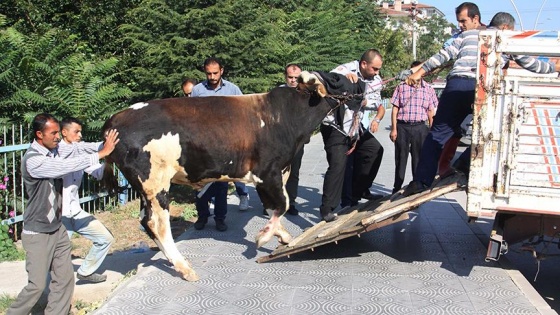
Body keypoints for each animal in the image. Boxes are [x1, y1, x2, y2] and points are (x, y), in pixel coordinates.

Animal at [100, 71, 364, 282]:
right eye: (336, 78)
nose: (361, 84)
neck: (285, 116)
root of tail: (115, 119)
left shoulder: (272, 174)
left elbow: (273, 206)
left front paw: (282, 235)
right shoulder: (268, 172)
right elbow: (283, 203)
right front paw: (263, 237)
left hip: (146, 189)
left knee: (146, 222)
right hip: (156, 183)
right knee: (157, 223)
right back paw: (185, 268)